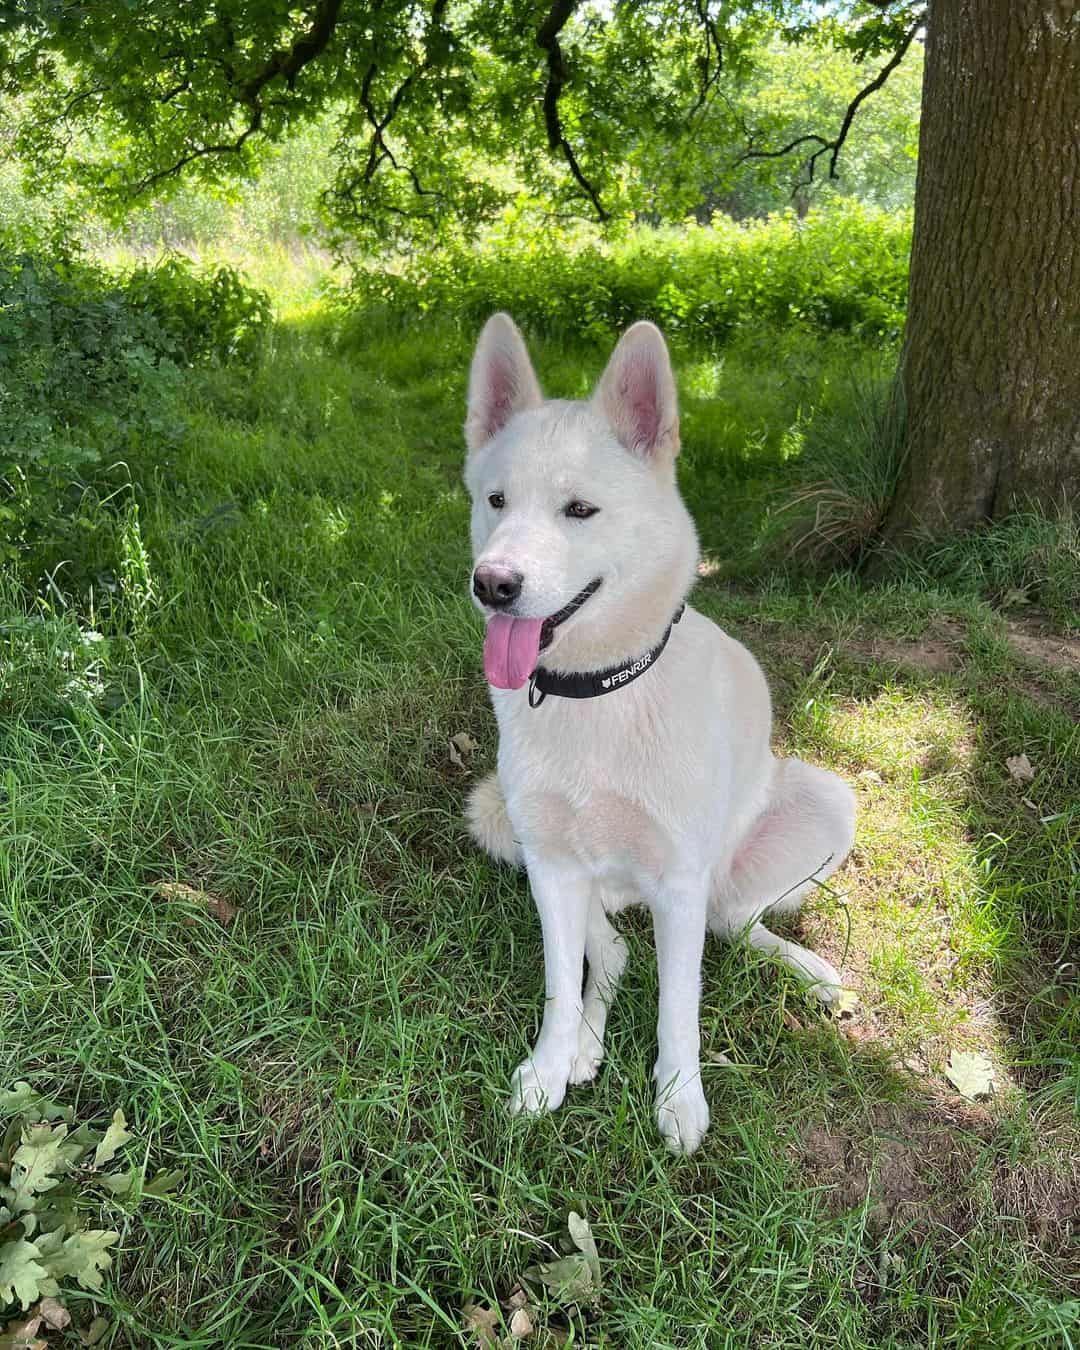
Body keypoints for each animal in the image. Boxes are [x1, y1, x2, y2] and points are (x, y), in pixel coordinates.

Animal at [459, 315, 858, 1150]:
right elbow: (562, 987)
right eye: (496, 500)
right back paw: (585, 1046)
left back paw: (808, 970)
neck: (597, 694)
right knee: (610, 949)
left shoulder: (678, 881)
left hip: (819, 802)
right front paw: (549, 1069)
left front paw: (678, 1098)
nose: (493, 584)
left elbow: (680, 1008)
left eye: (580, 511)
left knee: (732, 920)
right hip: (503, 822)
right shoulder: (551, 865)